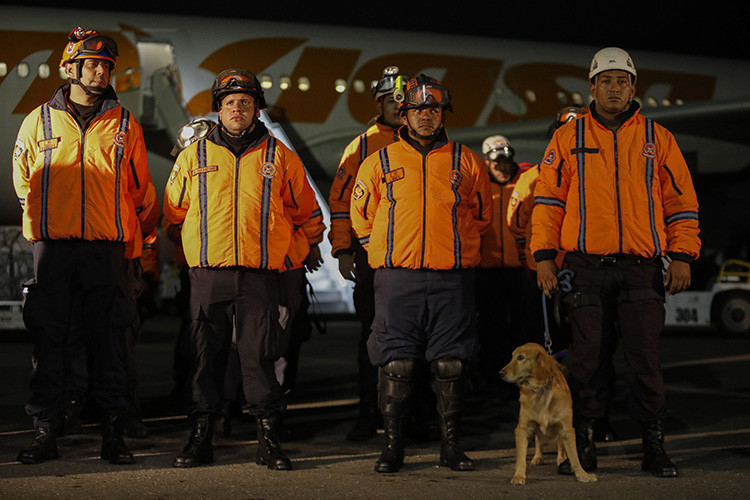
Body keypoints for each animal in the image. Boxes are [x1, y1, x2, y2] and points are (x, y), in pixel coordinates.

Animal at [500, 344, 600, 484]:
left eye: (520, 357)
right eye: (512, 356)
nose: (501, 373)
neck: (540, 391)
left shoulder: (567, 429)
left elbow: (574, 457)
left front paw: (582, 475)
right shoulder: (522, 429)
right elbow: (521, 458)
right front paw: (519, 475)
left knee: (560, 445)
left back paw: (561, 458)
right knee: (538, 440)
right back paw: (538, 457)